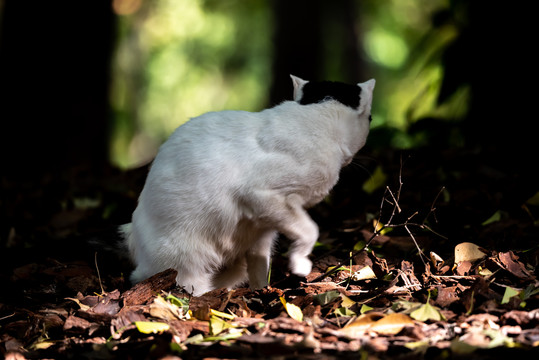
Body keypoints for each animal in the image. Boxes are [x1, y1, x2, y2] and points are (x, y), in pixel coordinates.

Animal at [122, 74, 376, 296]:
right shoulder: (260, 195)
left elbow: (260, 264)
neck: (317, 119)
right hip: (186, 257)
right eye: (371, 119)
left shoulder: (263, 227)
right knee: (186, 285)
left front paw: (262, 291)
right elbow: (311, 230)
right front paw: (300, 263)